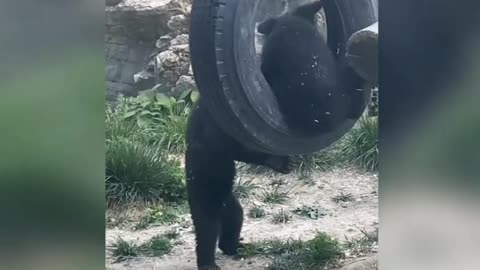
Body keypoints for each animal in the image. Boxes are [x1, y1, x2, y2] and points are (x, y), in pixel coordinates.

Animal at [186, 97, 292, 270]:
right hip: (207, 200)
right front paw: (279, 161)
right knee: (207, 231)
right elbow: (238, 148)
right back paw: (208, 264)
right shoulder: (216, 132)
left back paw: (235, 247)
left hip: (228, 204)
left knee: (234, 219)